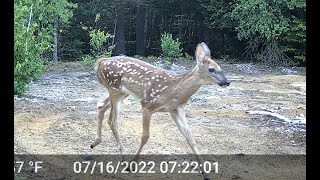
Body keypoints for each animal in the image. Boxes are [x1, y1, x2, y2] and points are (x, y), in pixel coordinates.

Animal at [90, 42, 230, 179]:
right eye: (211, 69)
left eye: (220, 67)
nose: (227, 82)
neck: (174, 90)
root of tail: (101, 62)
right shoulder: (147, 105)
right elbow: (145, 136)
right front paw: (132, 164)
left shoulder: (175, 109)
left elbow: (190, 138)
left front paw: (206, 174)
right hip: (114, 88)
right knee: (112, 121)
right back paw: (124, 158)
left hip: (122, 93)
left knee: (101, 105)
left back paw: (95, 142)